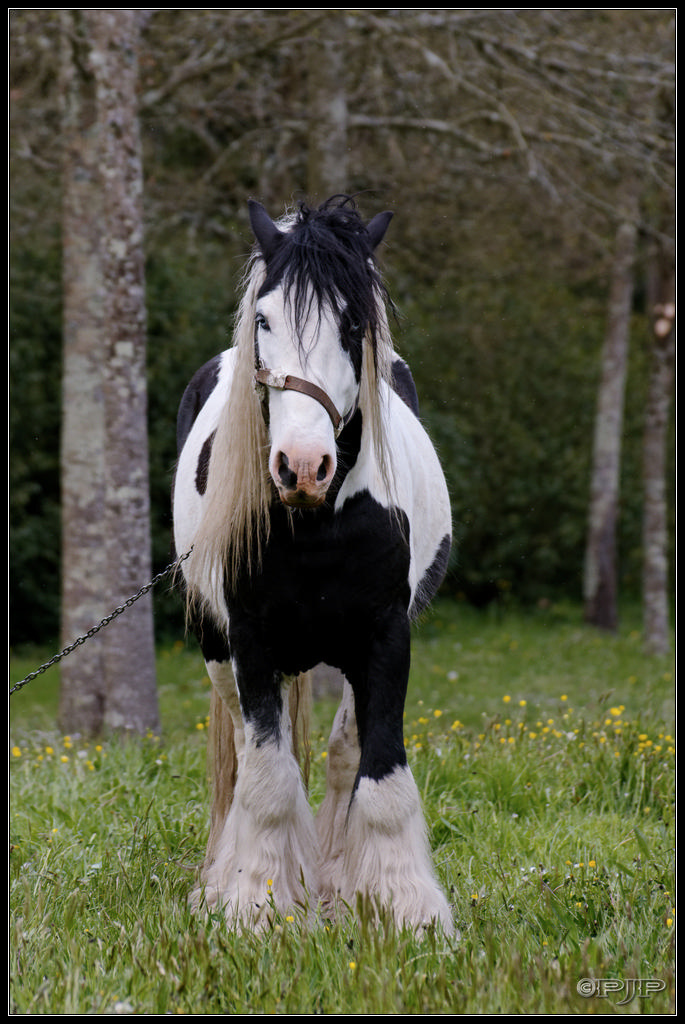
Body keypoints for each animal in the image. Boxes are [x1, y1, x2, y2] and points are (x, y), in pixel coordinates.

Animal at [174, 193, 454, 937]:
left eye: (353, 322)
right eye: (263, 320)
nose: (302, 467)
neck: (318, 524)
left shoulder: (387, 636)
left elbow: (377, 773)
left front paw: (403, 907)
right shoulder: (248, 640)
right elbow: (267, 779)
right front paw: (257, 904)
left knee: (341, 755)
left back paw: (334, 881)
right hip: (217, 648)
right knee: (244, 760)